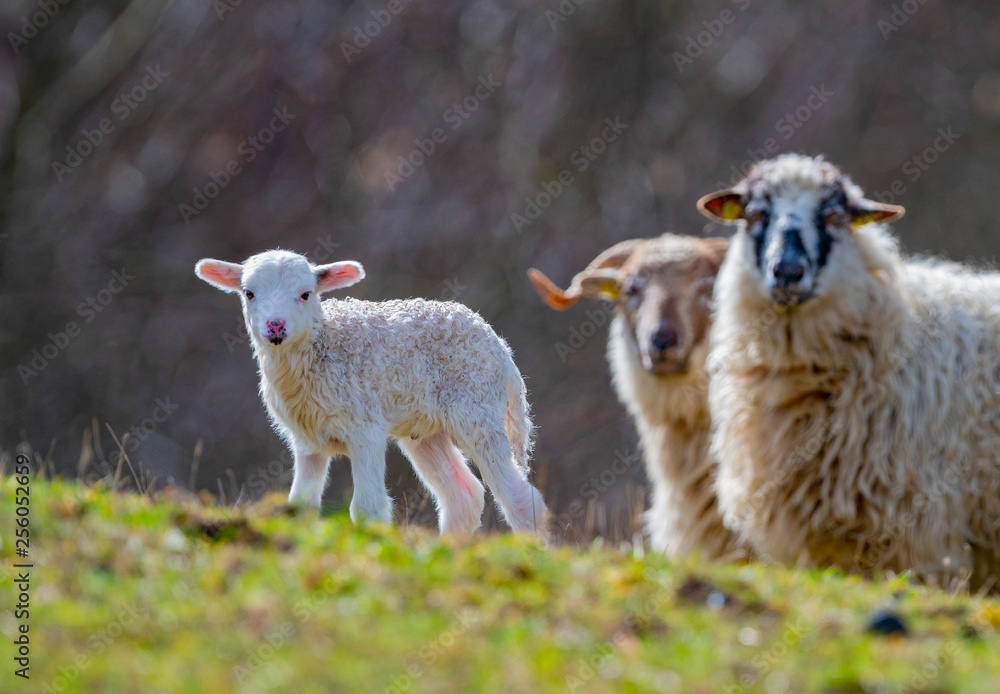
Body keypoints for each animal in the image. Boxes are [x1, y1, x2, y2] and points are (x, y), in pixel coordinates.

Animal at [195, 250, 549, 537]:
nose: (276, 326)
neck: (321, 349)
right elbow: (300, 505)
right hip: (426, 429)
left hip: (476, 407)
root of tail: (501, 347)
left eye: (306, 294)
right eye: (249, 293)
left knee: (520, 497)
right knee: (463, 496)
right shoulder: (307, 440)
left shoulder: (364, 429)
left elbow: (367, 508)